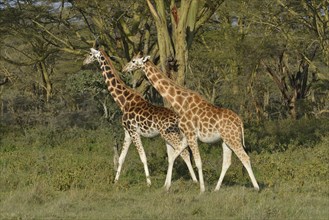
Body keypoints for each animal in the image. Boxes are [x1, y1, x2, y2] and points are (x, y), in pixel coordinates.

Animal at [82, 48, 197, 189]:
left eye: (90, 54)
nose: (83, 63)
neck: (124, 102)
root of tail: (179, 119)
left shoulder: (134, 131)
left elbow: (143, 157)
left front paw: (148, 182)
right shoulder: (127, 132)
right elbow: (121, 158)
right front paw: (115, 181)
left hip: (171, 135)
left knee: (184, 152)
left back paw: (194, 181)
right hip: (170, 136)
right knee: (177, 154)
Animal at [121, 53, 258, 192]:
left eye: (134, 61)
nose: (124, 69)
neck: (180, 103)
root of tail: (240, 122)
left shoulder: (191, 135)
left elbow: (198, 162)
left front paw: (202, 189)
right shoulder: (187, 136)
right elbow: (173, 157)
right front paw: (166, 186)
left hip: (232, 138)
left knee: (245, 157)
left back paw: (256, 187)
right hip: (225, 140)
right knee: (227, 162)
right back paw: (216, 188)